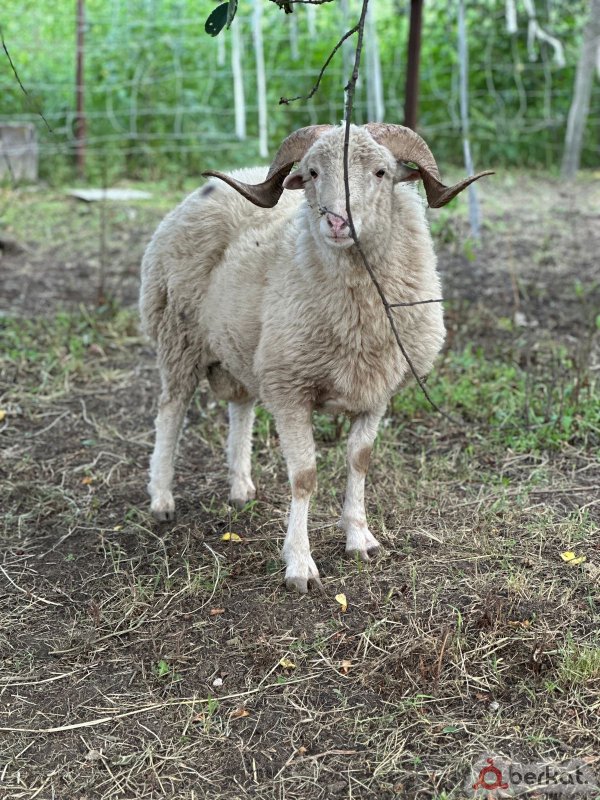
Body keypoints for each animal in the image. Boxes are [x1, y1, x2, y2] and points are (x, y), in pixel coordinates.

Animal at [140, 123, 491, 593]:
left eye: (381, 172)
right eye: (311, 173)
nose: (338, 221)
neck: (358, 314)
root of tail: (209, 188)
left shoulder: (375, 391)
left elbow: (360, 460)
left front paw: (360, 538)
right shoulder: (290, 389)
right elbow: (304, 477)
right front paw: (300, 565)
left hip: (243, 348)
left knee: (241, 407)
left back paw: (241, 486)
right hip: (178, 338)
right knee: (171, 412)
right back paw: (162, 499)